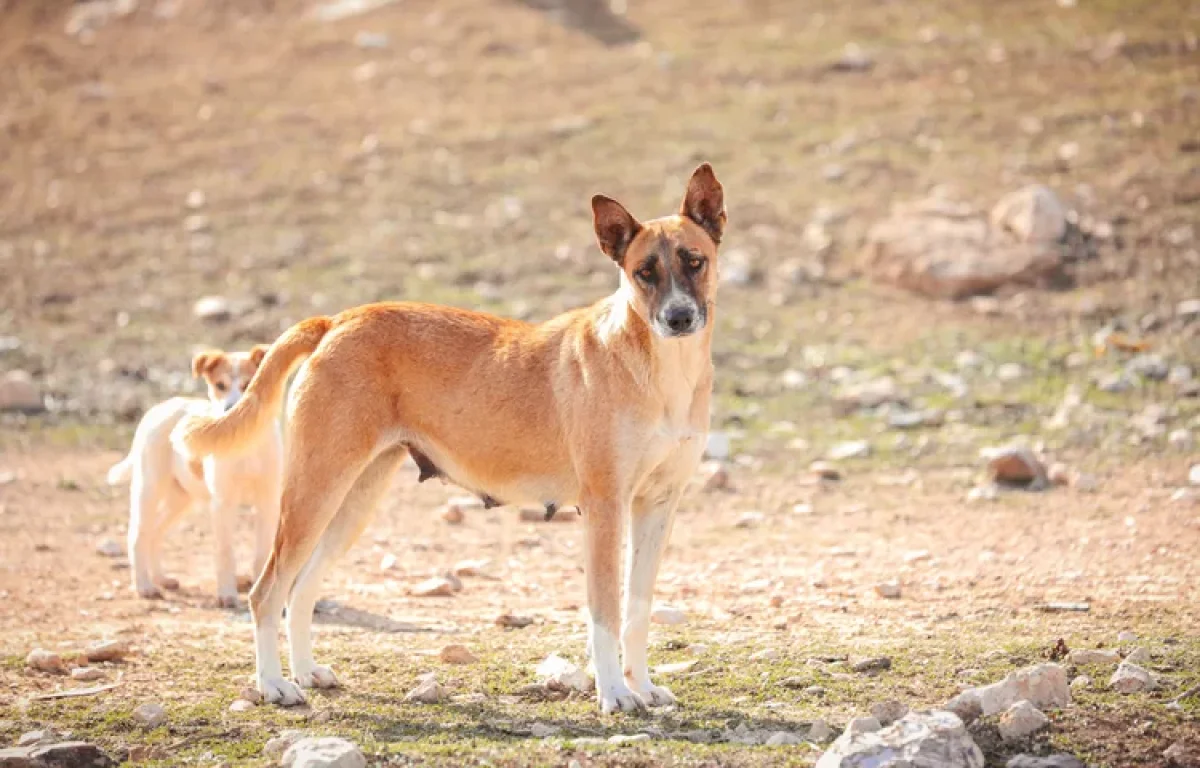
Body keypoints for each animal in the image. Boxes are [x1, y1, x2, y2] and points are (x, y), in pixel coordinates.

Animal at [109, 345, 282, 604]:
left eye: (248, 384)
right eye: (220, 385)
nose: (230, 411)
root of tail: (158, 408)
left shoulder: (267, 503)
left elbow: (262, 554)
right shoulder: (223, 504)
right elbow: (226, 552)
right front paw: (227, 594)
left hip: (181, 499)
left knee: (155, 533)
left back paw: (161, 578)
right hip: (148, 490)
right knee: (138, 535)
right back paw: (144, 585)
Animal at [174, 163, 724, 715]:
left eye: (694, 261)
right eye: (643, 273)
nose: (678, 318)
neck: (661, 369)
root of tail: (337, 320)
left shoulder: (657, 505)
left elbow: (637, 609)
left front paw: (642, 686)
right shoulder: (605, 506)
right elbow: (605, 614)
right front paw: (613, 692)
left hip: (353, 501)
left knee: (301, 588)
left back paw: (307, 672)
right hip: (315, 492)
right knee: (266, 591)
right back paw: (273, 684)